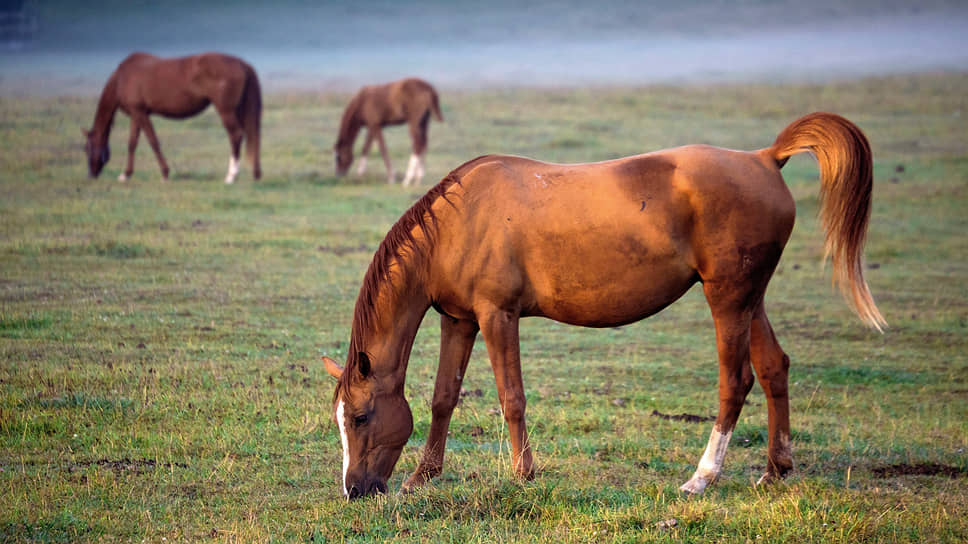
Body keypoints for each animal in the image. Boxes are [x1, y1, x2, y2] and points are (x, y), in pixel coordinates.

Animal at [83, 53, 260, 185]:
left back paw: (231, 176)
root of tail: (242, 64)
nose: (91, 175)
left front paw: (165, 173)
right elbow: (132, 144)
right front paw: (126, 175)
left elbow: (153, 142)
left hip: (226, 110)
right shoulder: (136, 114)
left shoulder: (140, 113)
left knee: (236, 135)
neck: (122, 78)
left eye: (86, 148)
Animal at [324, 112, 884, 500]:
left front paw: (524, 475)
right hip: (751, 298)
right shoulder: (460, 321)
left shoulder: (497, 316)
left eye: (360, 418)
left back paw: (702, 477)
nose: (354, 490)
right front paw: (424, 476)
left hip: (727, 299)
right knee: (773, 370)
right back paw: (775, 469)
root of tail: (764, 158)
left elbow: (512, 398)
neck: (458, 221)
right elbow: (443, 398)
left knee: (737, 381)